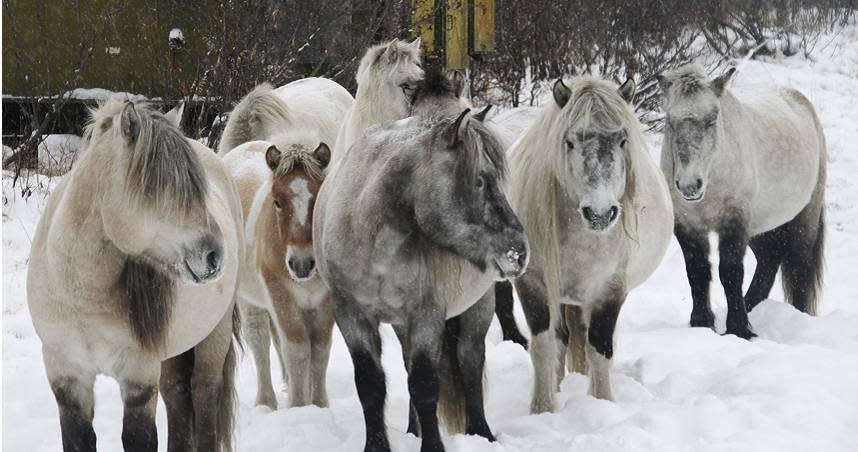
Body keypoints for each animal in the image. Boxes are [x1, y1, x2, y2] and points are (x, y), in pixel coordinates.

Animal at [26, 100, 241, 452]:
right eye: (160, 187)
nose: (214, 256)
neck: (82, 293)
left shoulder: (137, 377)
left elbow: (138, 437)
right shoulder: (67, 377)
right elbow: (78, 438)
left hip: (215, 335)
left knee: (204, 397)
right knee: (177, 395)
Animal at [314, 102, 528, 452]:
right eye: (480, 181)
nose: (519, 253)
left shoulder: (426, 314)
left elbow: (425, 384)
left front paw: (434, 445)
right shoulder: (351, 315)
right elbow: (371, 385)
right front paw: (377, 446)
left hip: (478, 307)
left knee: (470, 361)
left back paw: (480, 432)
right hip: (401, 324)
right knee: (407, 364)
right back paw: (412, 431)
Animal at [656, 64, 824, 340]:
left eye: (712, 119)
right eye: (670, 121)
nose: (690, 185)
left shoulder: (733, 221)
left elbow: (730, 272)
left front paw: (738, 328)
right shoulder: (688, 226)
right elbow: (698, 271)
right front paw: (703, 323)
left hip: (804, 219)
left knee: (799, 268)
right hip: (761, 226)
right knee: (768, 260)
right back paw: (751, 306)